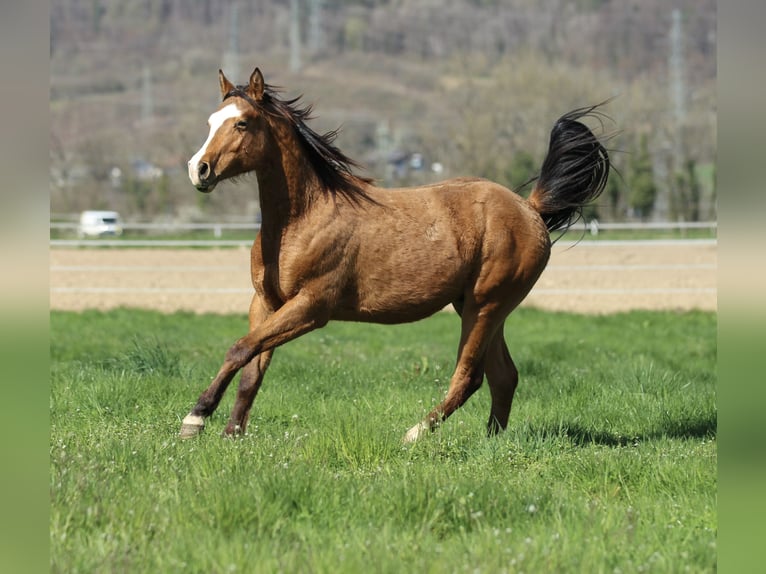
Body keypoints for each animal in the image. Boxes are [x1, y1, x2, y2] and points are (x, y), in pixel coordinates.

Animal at [180, 66, 610, 442]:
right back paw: (492, 442)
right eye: (211, 121)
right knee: (504, 376)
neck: (301, 219)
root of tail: (530, 208)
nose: (198, 170)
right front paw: (231, 432)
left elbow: (240, 348)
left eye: (242, 123)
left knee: (469, 377)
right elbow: (251, 365)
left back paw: (415, 434)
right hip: (477, 307)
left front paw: (196, 418)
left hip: (486, 306)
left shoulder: (312, 307)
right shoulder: (267, 302)